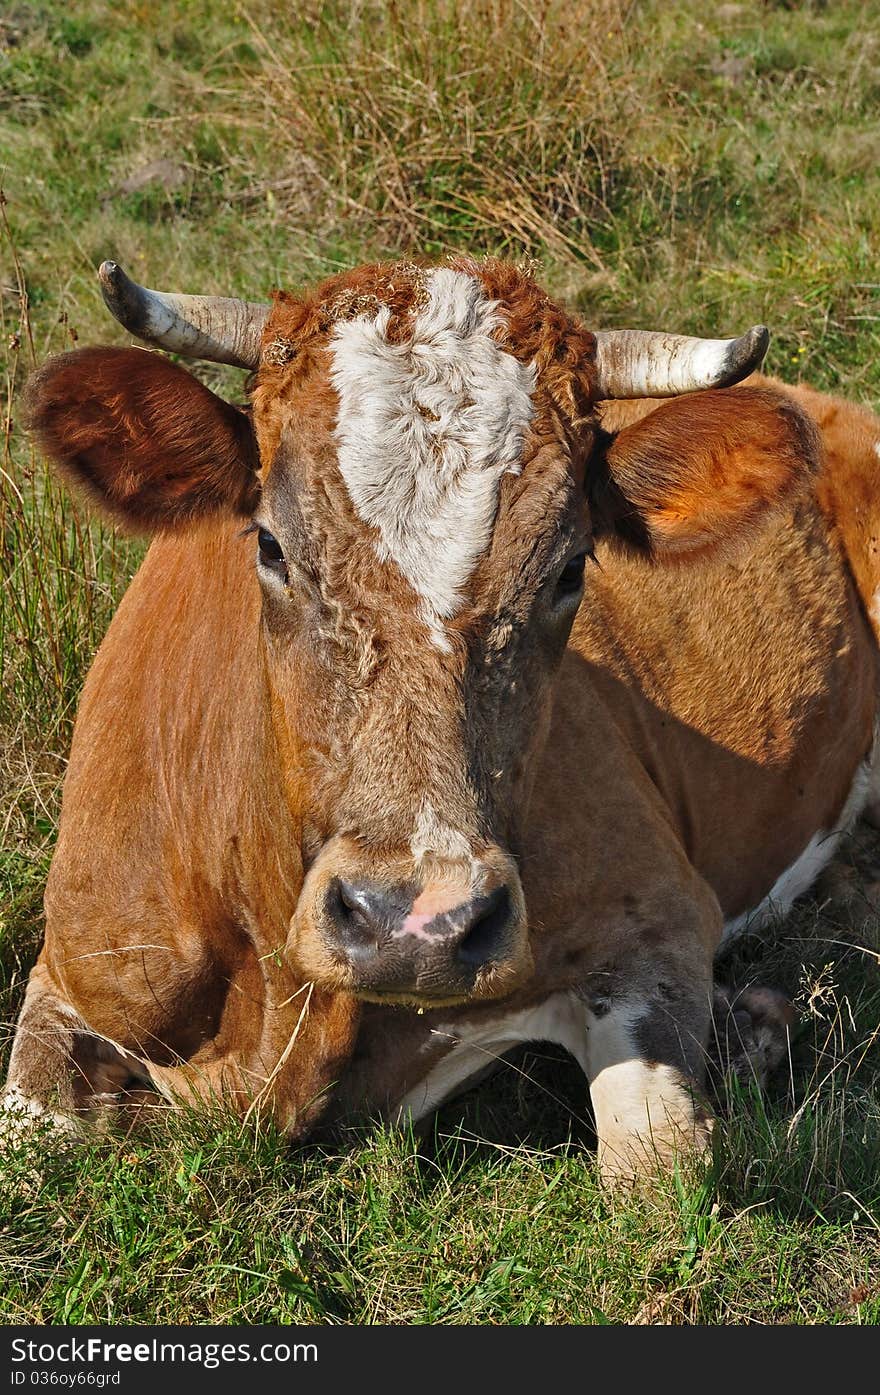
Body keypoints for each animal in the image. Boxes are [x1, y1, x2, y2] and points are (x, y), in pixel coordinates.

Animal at [3, 256, 875, 1182]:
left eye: (571, 567)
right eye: (271, 545)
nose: (413, 925)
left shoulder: (659, 910)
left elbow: (657, 1164)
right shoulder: (71, 973)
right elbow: (31, 1127)